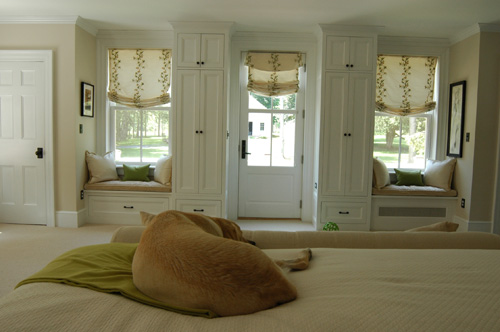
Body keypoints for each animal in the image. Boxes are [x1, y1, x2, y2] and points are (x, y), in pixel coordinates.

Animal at [133, 210, 312, 316]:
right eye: (240, 232)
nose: (254, 242)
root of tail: (281, 286)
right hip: (267, 258)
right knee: (298, 262)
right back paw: (307, 252)